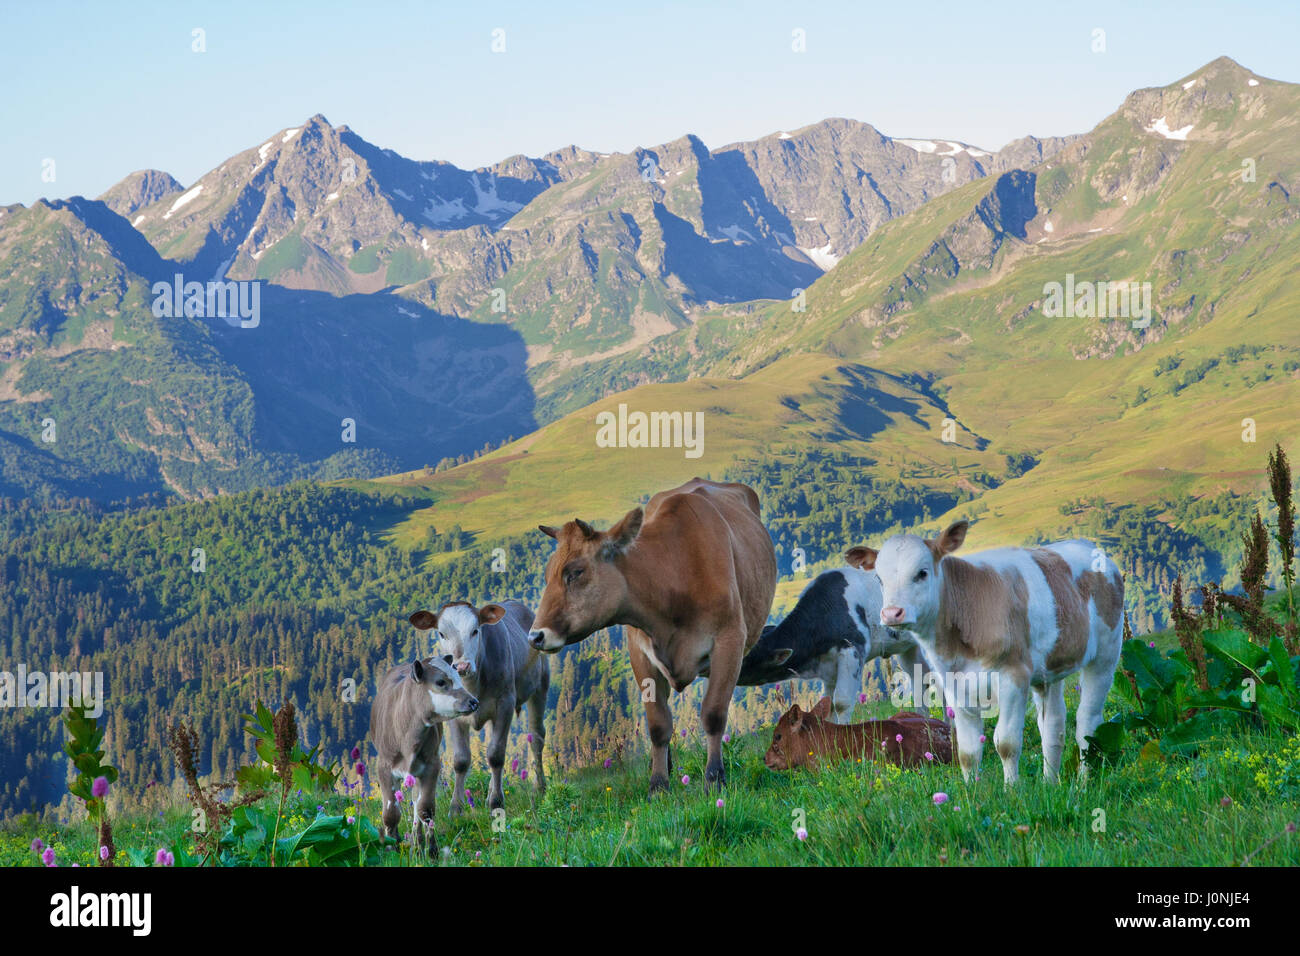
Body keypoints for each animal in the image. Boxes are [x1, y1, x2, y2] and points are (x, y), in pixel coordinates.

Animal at [370, 655, 478, 853]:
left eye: (458, 678)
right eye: (441, 682)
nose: (474, 701)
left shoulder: (431, 765)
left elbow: (425, 809)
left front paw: (431, 850)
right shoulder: (384, 767)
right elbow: (391, 813)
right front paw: (390, 847)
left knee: (416, 806)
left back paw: (416, 843)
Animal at [407, 599, 549, 814]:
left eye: (475, 631)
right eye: (441, 633)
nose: (461, 666)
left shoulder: (505, 704)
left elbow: (496, 755)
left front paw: (496, 802)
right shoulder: (453, 714)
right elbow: (461, 759)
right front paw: (456, 807)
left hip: (540, 687)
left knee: (536, 738)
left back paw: (538, 789)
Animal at [529, 477, 777, 794]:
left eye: (575, 572)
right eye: (547, 574)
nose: (535, 636)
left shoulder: (729, 641)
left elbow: (713, 713)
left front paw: (714, 778)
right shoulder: (640, 653)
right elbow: (658, 724)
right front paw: (658, 784)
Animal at [736, 566, 935, 723]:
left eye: (745, 658)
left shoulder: (852, 650)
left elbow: (841, 702)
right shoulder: (829, 668)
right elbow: (828, 705)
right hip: (908, 647)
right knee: (920, 677)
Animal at [846, 521, 1124, 785]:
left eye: (922, 573)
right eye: (879, 579)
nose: (891, 614)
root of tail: (1088, 547)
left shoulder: (1014, 676)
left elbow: (1007, 743)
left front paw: (1012, 791)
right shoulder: (954, 684)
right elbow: (967, 751)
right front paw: (972, 793)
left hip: (1106, 655)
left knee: (1087, 722)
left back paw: (1083, 783)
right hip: (1049, 670)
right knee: (1053, 727)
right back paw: (1050, 784)